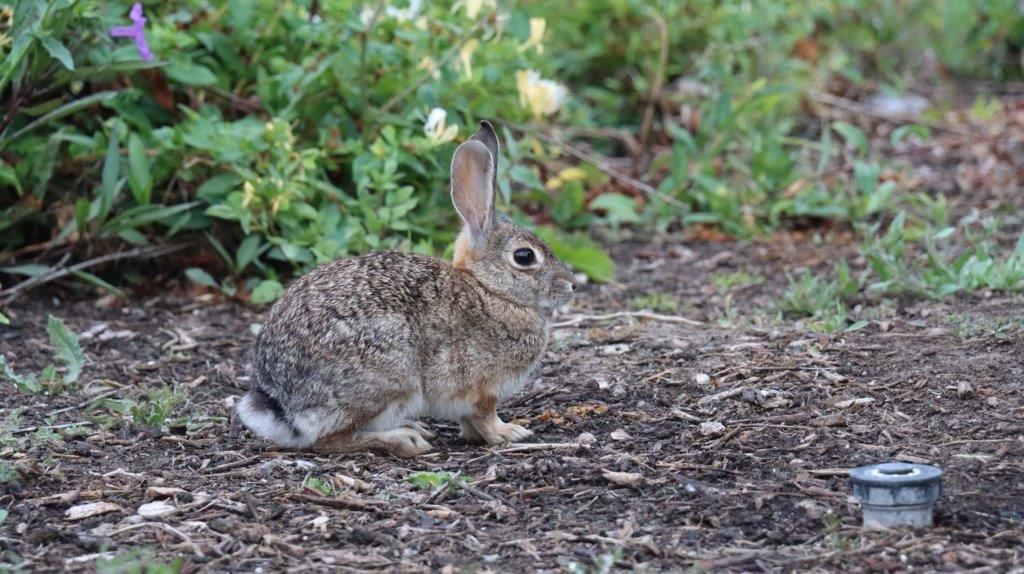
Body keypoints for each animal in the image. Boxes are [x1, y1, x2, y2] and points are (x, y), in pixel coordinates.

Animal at [235, 120, 581, 456]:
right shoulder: (482, 388)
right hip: (390, 379)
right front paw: (508, 433)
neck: (489, 290)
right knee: (331, 440)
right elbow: (485, 416)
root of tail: (283, 406)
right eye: (524, 256)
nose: (572, 285)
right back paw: (405, 440)